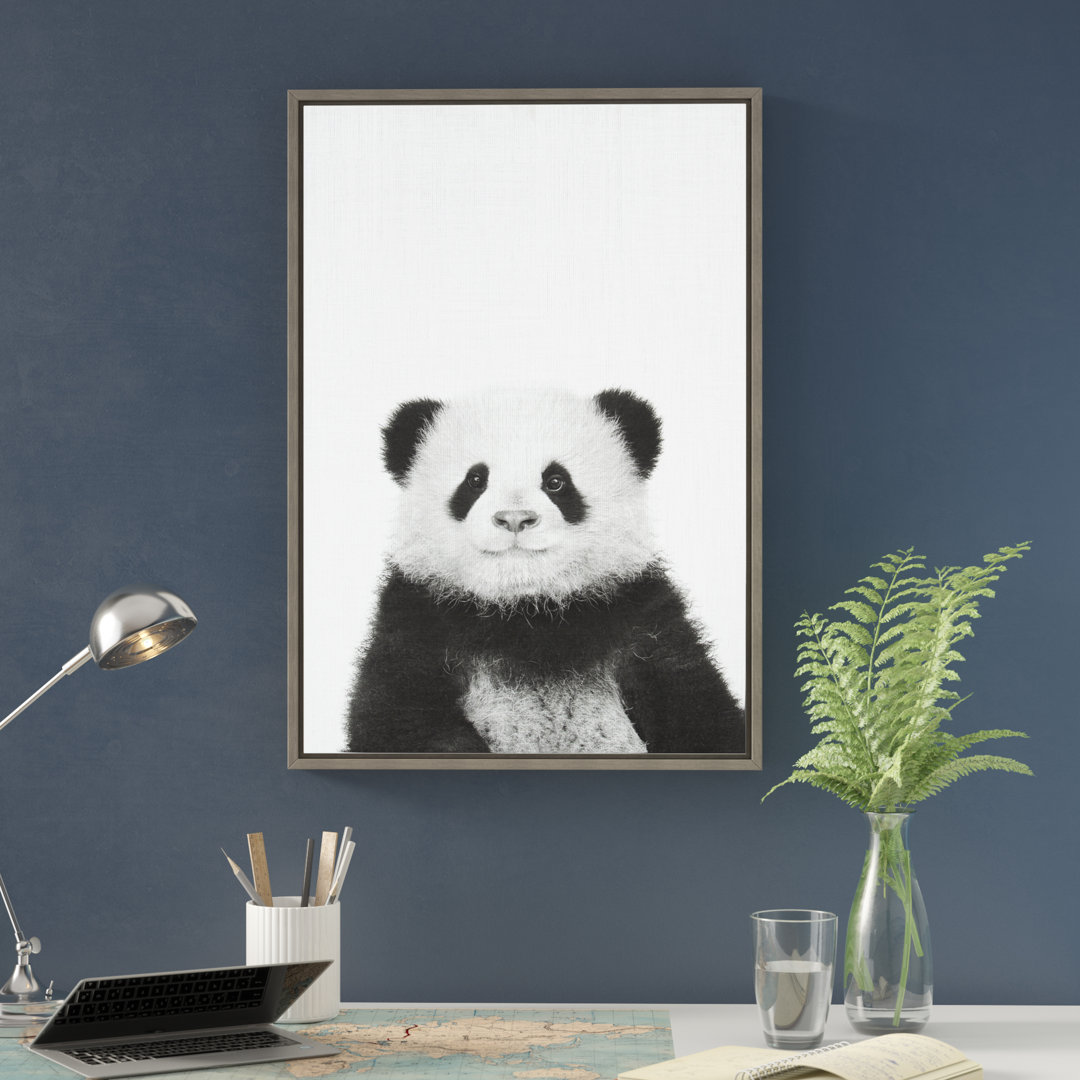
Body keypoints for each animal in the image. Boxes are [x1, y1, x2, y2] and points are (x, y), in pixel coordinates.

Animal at [345, 387, 745, 755]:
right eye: (475, 481)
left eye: (556, 482)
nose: (515, 518)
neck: (528, 611)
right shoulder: (418, 618)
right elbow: (395, 715)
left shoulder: (640, 615)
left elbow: (697, 704)